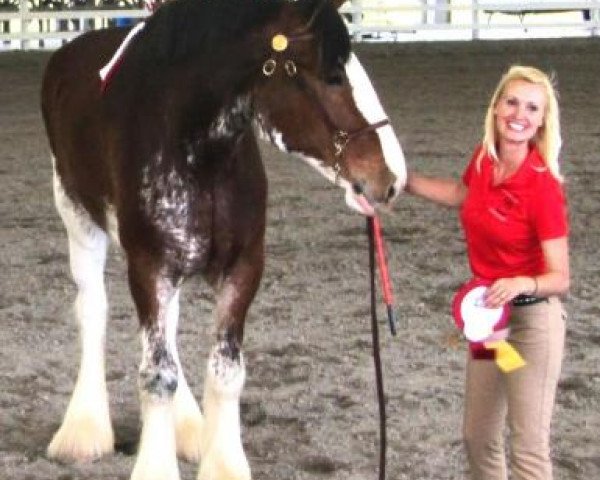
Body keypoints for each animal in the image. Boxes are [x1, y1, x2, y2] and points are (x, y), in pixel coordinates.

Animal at [41, 0, 408, 480]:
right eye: (333, 76)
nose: (393, 178)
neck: (197, 152)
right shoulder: (149, 267)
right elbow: (157, 376)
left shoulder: (242, 267)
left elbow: (226, 371)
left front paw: (221, 461)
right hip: (78, 218)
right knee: (93, 310)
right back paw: (82, 430)